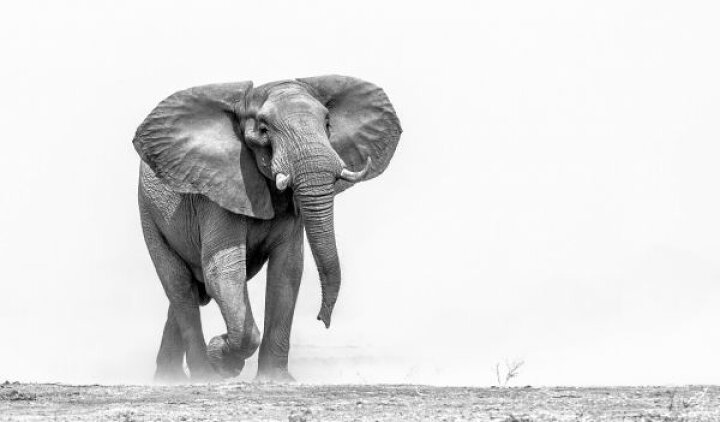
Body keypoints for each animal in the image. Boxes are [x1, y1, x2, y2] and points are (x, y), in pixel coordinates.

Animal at [133, 75, 401, 382]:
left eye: (328, 124)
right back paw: (202, 376)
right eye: (263, 130)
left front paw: (276, 379)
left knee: (186, 294)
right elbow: (223, 272)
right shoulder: (219, 188)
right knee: (180, 288)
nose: (322, 319)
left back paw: (169, 379)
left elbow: (287, 271)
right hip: (149, 215)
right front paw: (221, 357)